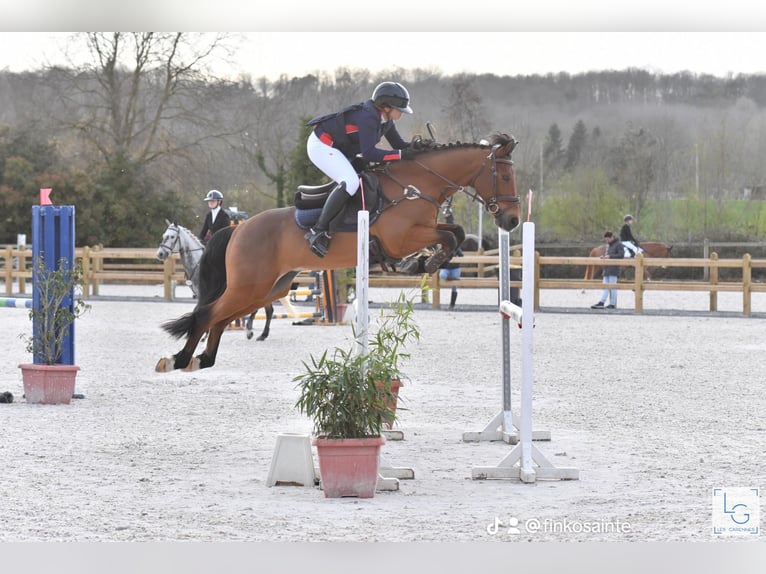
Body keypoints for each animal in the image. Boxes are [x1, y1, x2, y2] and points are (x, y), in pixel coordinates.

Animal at [155, 132, 520, 374]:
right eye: (504, 175)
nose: (513, 220)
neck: (416, 186)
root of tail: (239, 229)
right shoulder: (401, 237)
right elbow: (448, 236)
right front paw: (421, 262)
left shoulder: (423, 230)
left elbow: (454, 234)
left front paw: (424, 261)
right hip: (249, 285)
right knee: (208, 313)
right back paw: (179, 359)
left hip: (267, 289)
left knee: (221, 317)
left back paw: (203, 359)